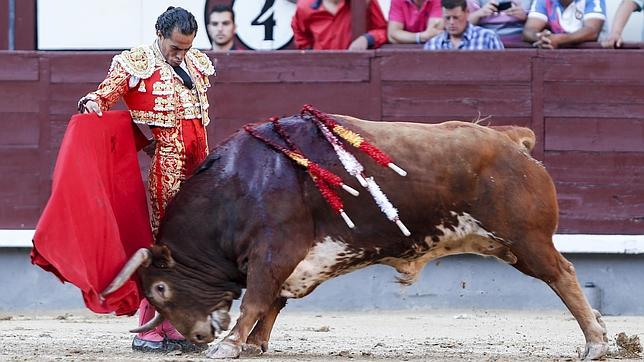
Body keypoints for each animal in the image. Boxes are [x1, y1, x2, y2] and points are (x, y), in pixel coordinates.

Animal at [103, 114, 608, 360]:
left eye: (161, 288)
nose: (197, 335)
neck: (241, 184)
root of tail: (510, 140)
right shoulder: (292, 261)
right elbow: (271, 304)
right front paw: (254, 345)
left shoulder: (273, 251)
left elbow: (256, 299)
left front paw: (228, 347)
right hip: (511, 243)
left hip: (526, 239)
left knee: (563, 275)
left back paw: (596, 343)